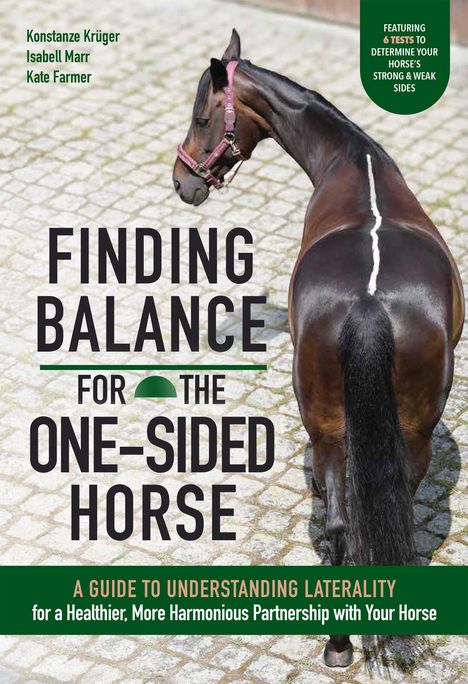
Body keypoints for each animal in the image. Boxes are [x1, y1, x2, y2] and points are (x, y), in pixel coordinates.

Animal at [172, 30, 465, 667]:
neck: (354, 162)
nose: (183, 183)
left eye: (202, 117)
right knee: (362, 518)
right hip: (382, 432)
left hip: (344, 430)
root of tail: (368, 305)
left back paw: (340, 642)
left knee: (348, 522)